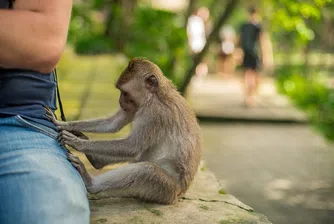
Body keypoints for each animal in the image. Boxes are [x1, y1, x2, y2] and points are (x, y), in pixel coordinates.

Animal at [45, 57, 200, 205]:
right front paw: (65, 124)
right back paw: (96, 160)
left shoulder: (154, 114)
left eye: (125, 92)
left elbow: (132, 147)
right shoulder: (135, 108)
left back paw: (91, 183)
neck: (154, 95)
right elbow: (113, 124)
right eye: (120, 92)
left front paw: (77, 142)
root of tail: (178, 195)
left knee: (146, 170)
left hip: (165, 189)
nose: (120, 102)